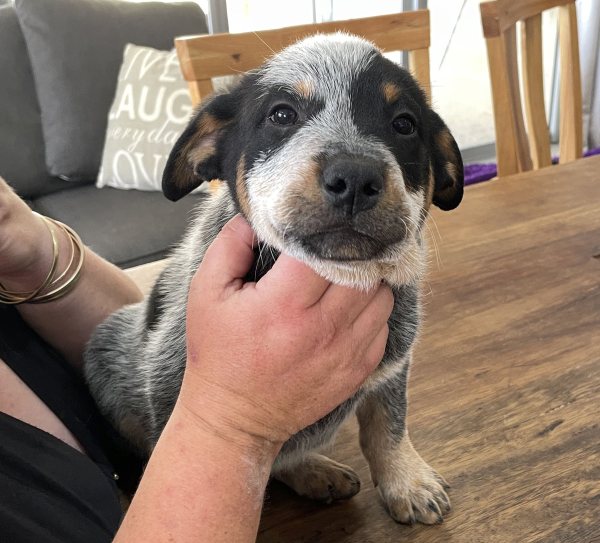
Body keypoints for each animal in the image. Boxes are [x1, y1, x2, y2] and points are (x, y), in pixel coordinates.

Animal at [84, 31, 462, 524]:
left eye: (404, 124)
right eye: (282, 114)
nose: (354, 177)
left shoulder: (393, 364)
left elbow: (388, 425)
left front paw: (407, 480)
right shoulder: (168, 384)